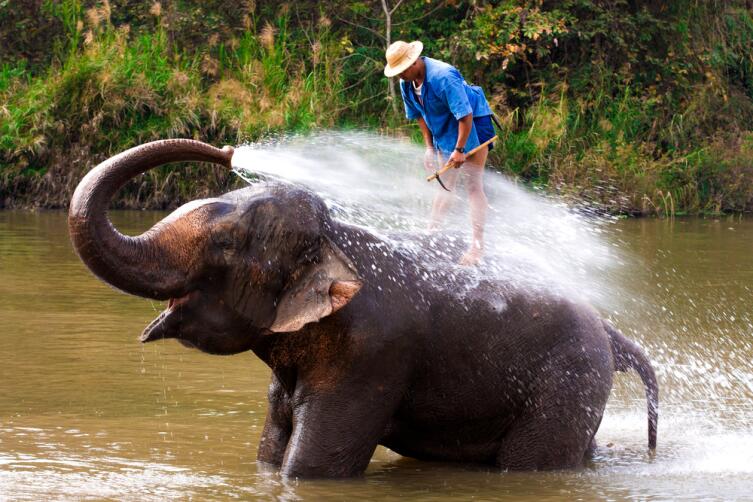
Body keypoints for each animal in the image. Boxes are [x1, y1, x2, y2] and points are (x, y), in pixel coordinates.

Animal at [70, 138, 656, 478]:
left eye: (226, 245)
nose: (228, 150)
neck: (337, 240)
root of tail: (610, 331)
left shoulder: (370, 353)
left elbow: (312, 468)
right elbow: (269, 450)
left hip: (569, 382)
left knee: (530, 464)